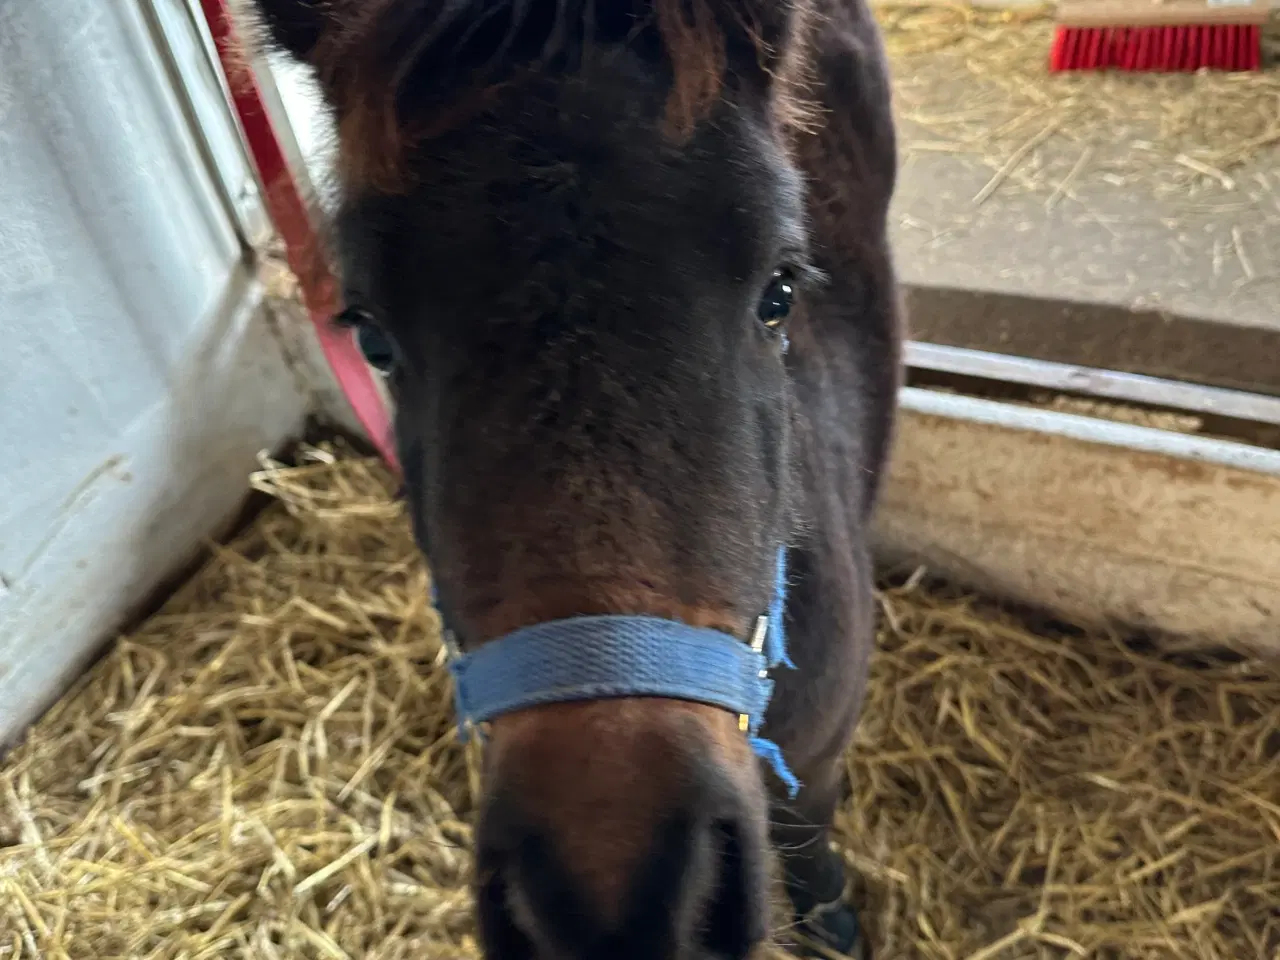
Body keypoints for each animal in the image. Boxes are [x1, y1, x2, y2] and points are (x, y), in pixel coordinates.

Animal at [240, 1, 901, 957]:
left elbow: (809, 837)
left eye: (778, 292)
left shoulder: (817, 764)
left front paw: (832, 921)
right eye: (372, 337)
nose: (616, 901)